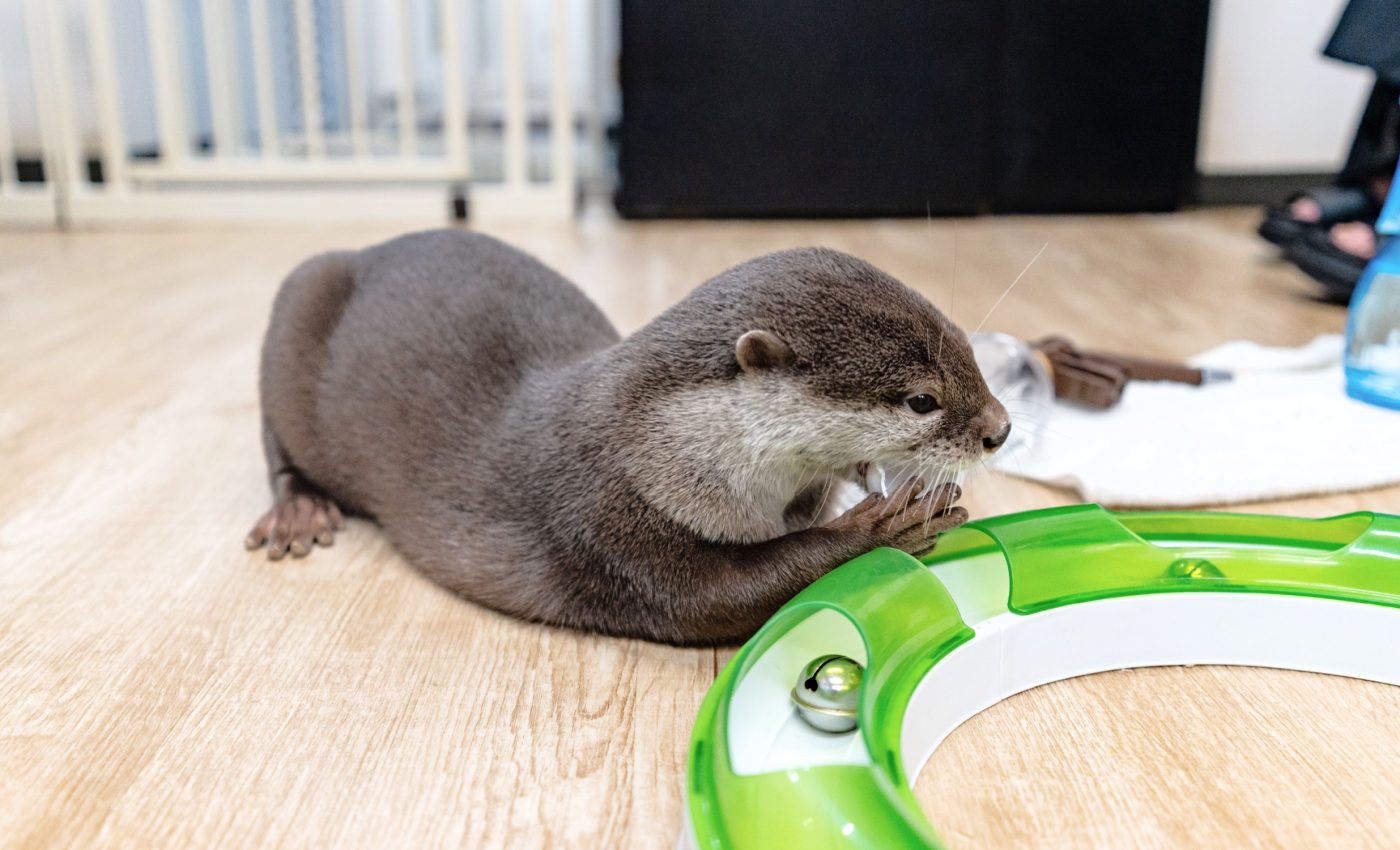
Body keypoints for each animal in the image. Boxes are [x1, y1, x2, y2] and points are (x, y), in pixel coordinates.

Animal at [245, 230, 1010, 645]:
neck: (662, 449)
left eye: (971, 352)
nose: (1001, 429)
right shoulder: (606, 520)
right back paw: (298, 511)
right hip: (298, 301)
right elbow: (714, 597)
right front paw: (882, 525)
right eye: (922, 400)